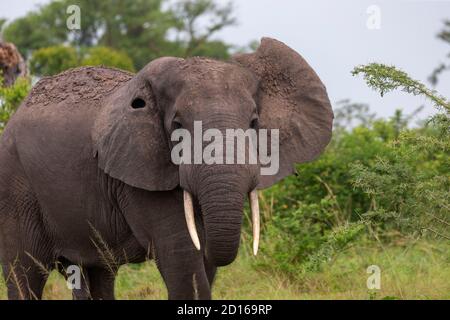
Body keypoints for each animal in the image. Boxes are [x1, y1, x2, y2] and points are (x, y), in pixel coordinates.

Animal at [0, 38, 330, 300]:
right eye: (177, 126)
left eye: (253, 123)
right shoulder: (139, 171)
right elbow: (182, 258)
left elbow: (202, 260)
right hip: (16, 188)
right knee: (24, 273)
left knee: (97, 271)